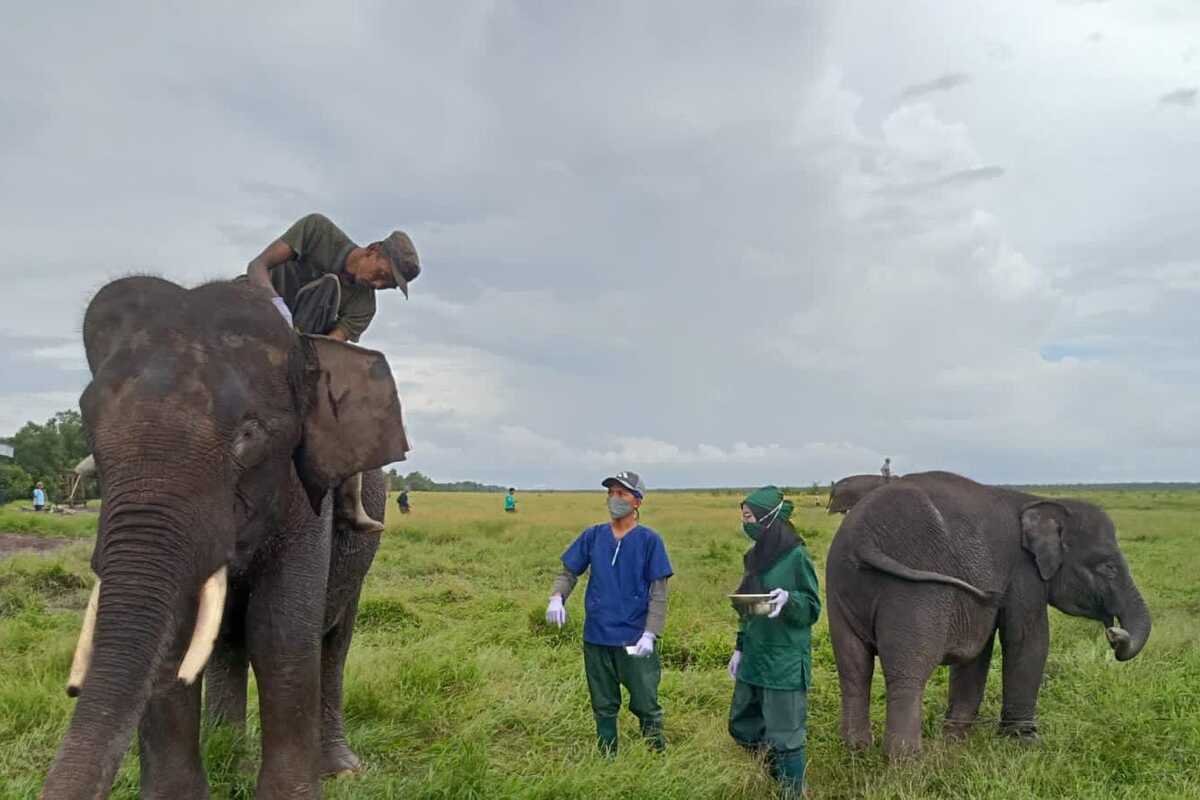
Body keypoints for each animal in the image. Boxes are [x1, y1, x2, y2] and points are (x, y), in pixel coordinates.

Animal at [42, 277, 410, 800]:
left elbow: (280, 629)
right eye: (88, 426)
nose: (73, 689)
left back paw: (339, 769)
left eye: (249, 434)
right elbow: (176, 636)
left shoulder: (305, 491)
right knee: (225, 642)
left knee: (333, 641)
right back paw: (228, 758)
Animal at [825, 472, 1152, 762]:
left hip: (840, 584)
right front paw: (1026, 743)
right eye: (1107, 566)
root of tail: (863, 537)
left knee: (853, 668)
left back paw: (855, 752)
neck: (1037, 502)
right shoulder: (1023, 572)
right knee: (909, 670)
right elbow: (1027, 639)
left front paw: (955, 740)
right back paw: (906, 763)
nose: (1114, 635)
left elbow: (978, 650)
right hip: (914, 590)